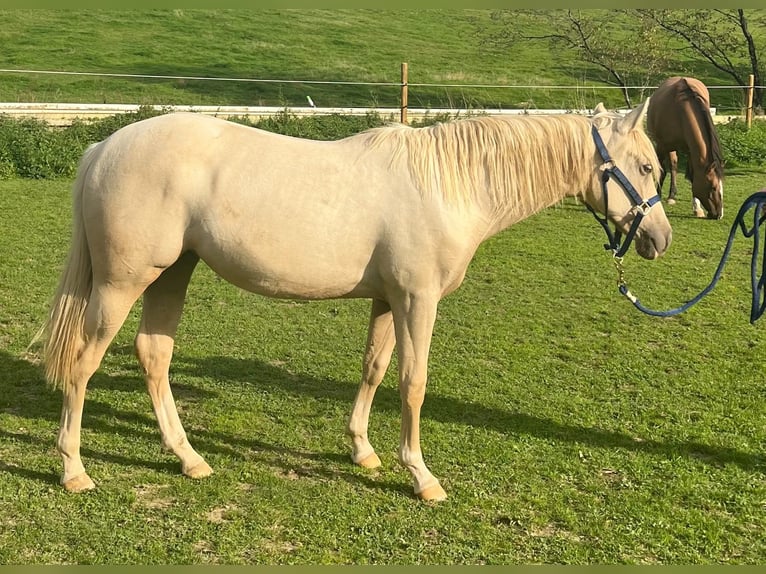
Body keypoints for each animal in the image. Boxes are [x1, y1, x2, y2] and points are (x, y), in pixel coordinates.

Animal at [33, 100, 671, 501]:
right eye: (644, 166)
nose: (660, 240)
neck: (448, 184)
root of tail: (102, 147)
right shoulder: (418, 299)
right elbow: (413, 383)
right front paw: (421, 477)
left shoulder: (389, 300)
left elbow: (375, 368)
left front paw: (363, 451)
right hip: (122, 282)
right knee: (83, 363)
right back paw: (73, 469)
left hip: (171, 274)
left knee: (153, 355)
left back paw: (189, 459)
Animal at [646, 76, 724, 219]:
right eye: (713, 187)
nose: (719, 215)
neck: (680, 111)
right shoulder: (661, 146)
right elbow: (661, 170)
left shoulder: (691, 151)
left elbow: (693, 176)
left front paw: (697, 209)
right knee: (672, 166)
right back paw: (671, 196)